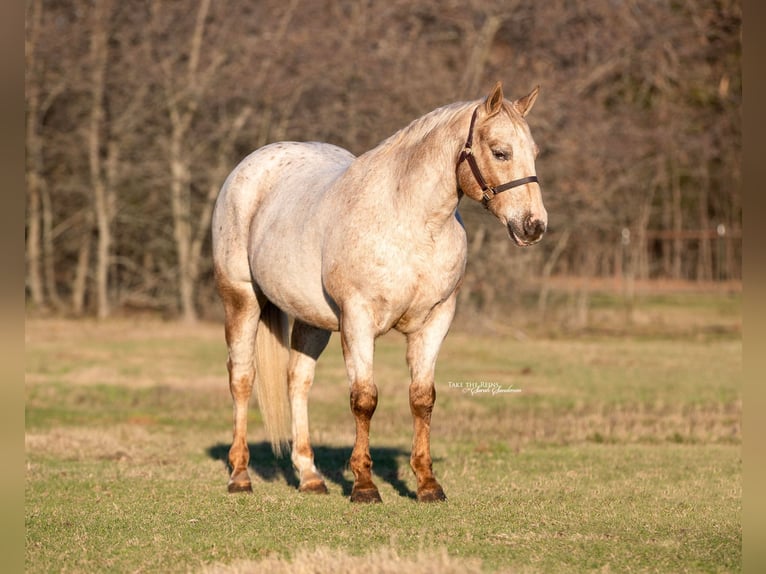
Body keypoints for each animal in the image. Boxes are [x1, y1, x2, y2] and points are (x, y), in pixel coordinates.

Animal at [210, 81, 544, 504]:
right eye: (501, 152)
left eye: (534, 153)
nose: (534, 226)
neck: (412, 223)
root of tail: (249, 167)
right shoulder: (358, 320)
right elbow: (364, 399)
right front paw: (364, 486)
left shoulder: (436, 320)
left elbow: (422, 398)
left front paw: (427, 484)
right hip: (240, 300)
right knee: (241, 379)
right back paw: (240, 475)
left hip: (312, 321)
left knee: (298, 381)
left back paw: (310, 476)